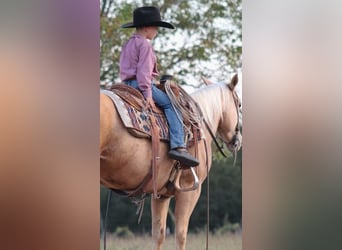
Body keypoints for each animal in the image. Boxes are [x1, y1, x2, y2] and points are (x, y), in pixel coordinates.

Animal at [100, 73, 242, 248]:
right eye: (239, 104)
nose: (237, 141)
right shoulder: (190, 189)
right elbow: (181, 235)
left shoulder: (160, 194)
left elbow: (158, 235)